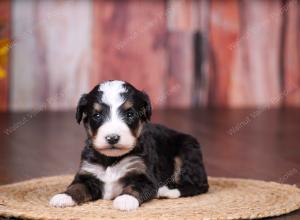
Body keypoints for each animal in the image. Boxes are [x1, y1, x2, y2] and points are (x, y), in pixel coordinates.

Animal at [49, 80, 209, 211]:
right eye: (97, 115)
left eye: (130, 114)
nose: (112, 138)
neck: (111, 159)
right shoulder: (88, 172)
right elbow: (77, 186)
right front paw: (63, 196)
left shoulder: (144, 176)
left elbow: (135, 187)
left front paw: (125, 199)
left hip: (188, 150)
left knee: (198, 185)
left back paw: (166, 191)